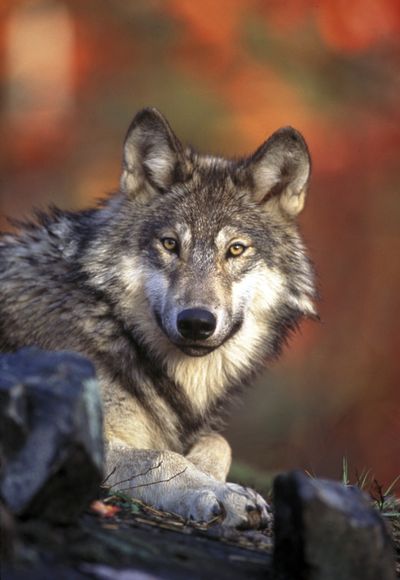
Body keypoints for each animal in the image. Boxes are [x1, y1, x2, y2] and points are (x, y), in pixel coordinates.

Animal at [0, 107, 318, 532]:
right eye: (170, 244)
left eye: (236, 250)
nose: (196, 322)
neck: (111, 323)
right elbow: (161, 457)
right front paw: (220, 493)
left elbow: (218, 442)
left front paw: (211, 476)